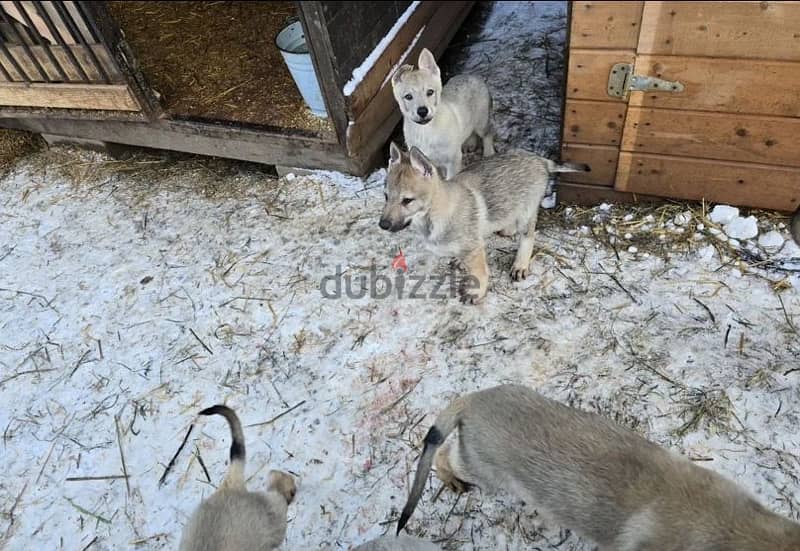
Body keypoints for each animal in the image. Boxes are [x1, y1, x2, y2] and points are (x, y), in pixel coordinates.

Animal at [376, 142, 588, 304]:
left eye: (407, 201)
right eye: (385, 196)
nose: (383, 225)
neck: (436, 214)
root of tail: (539, 159)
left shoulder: (474, 249)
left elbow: (480, 274)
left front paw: (476, 293)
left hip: (526, 213)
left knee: (528, 237)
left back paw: (520, 265)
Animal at [394, 48, 494, 179]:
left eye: (430, 92)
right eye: (408, 97)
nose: (422, 111)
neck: (426, 131)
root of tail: (472, 76)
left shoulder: (453, 160)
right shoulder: (430, 162)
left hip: (481, 122)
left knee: (488, 133)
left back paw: (489, 153)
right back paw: (469, 144)